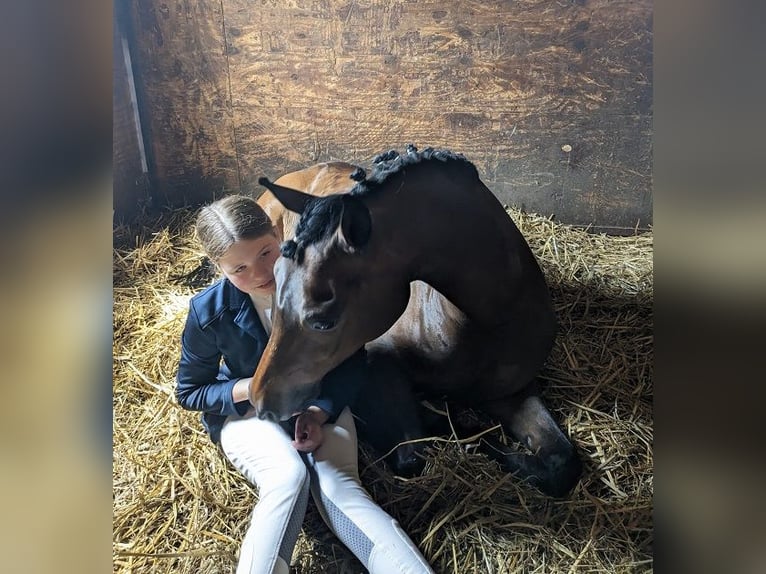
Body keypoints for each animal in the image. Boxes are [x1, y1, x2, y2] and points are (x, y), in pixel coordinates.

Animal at [252, 146, 582, 497]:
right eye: (276, 278)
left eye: (323, 322)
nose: (260, 401)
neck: (488, 326)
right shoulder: (376, 366)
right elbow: (411, 454)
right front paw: (452, 424)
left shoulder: (514, 392)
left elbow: (561, 464)